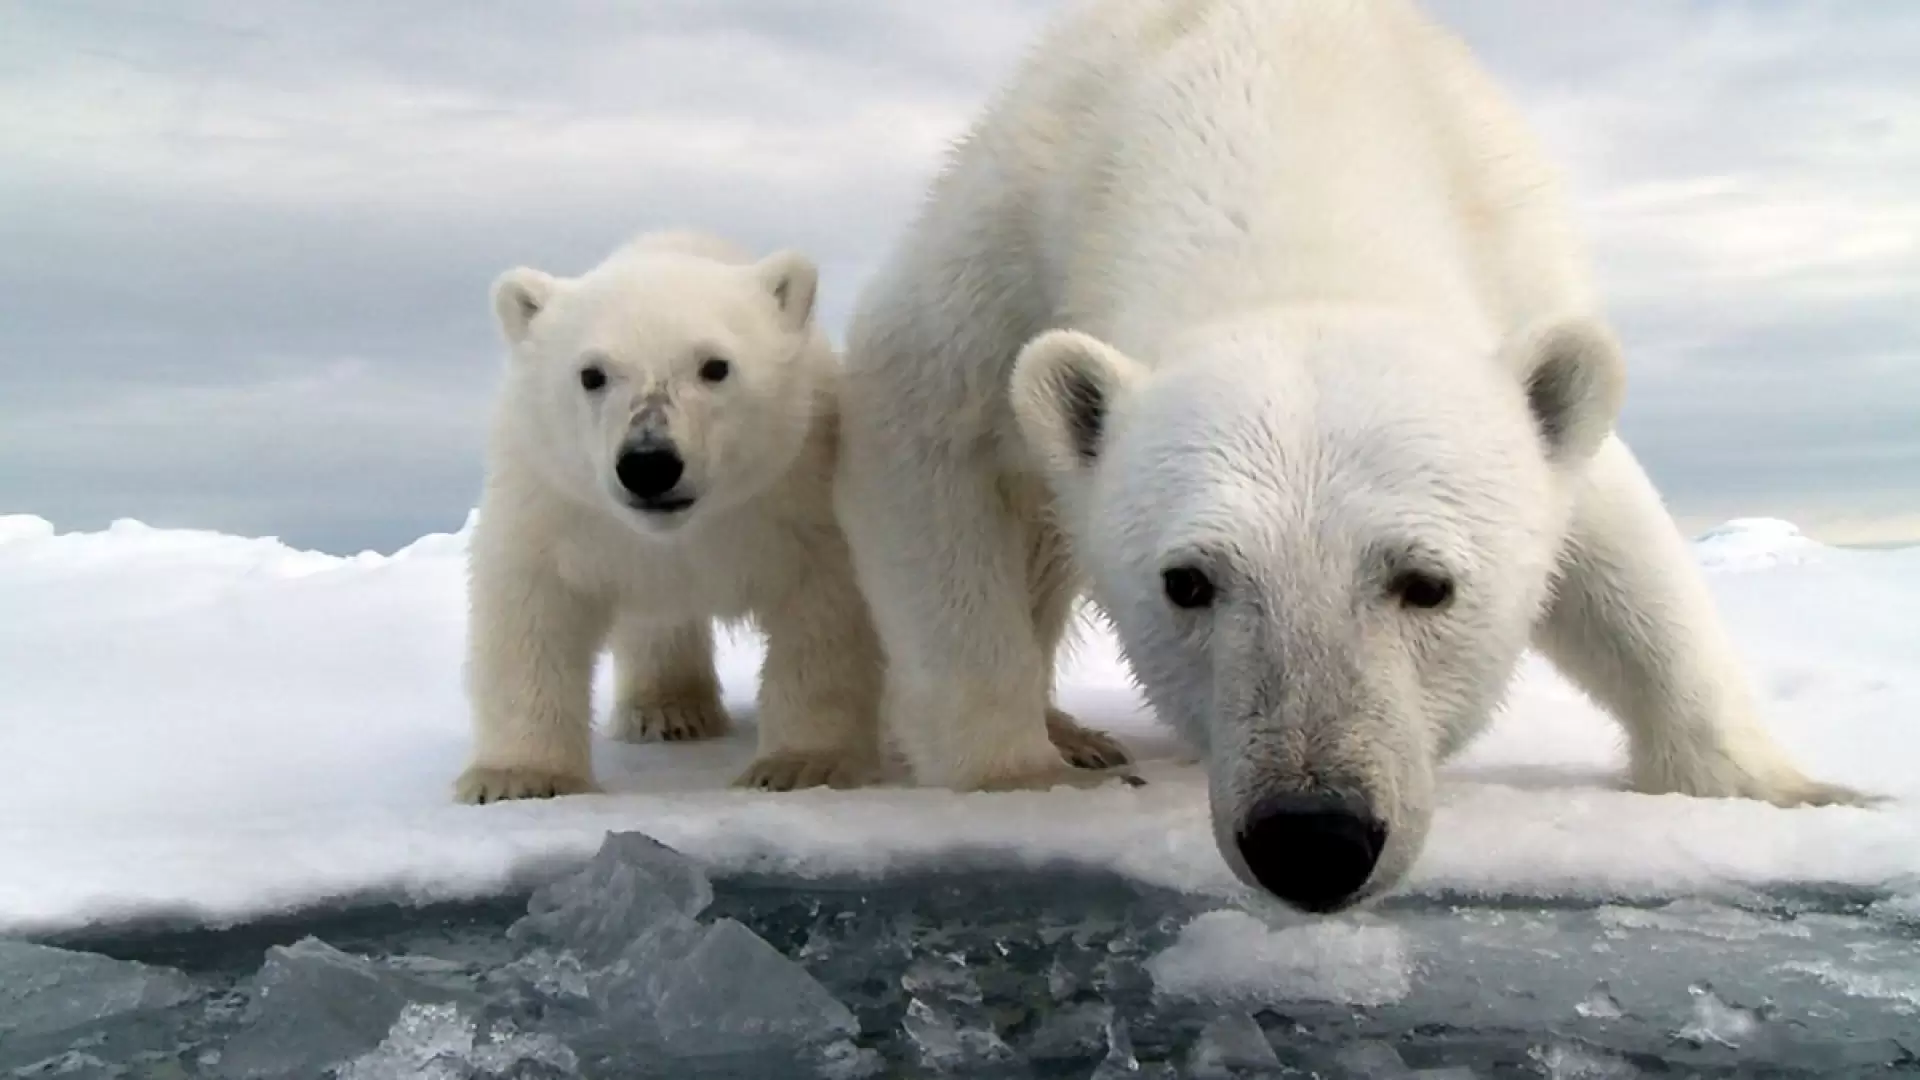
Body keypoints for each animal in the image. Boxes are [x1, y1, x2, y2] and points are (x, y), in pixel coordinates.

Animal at [453, 229, 889, 803]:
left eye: (716, 366)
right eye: (592, 373)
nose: (649, 463)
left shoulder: (797, 495)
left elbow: (824, 611)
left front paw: (801, 764)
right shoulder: (557, 503)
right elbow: (532, 608)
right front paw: (518, 777)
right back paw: (669, 711)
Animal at [829, 0, 1875, 914]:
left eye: (1428, 582)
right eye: (1188, 581)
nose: (1312, 838)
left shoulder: (1514, 266)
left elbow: (1618, 543)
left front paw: (1796, 792)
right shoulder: (1012, 235)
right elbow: (924, 430)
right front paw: (1021, 775)